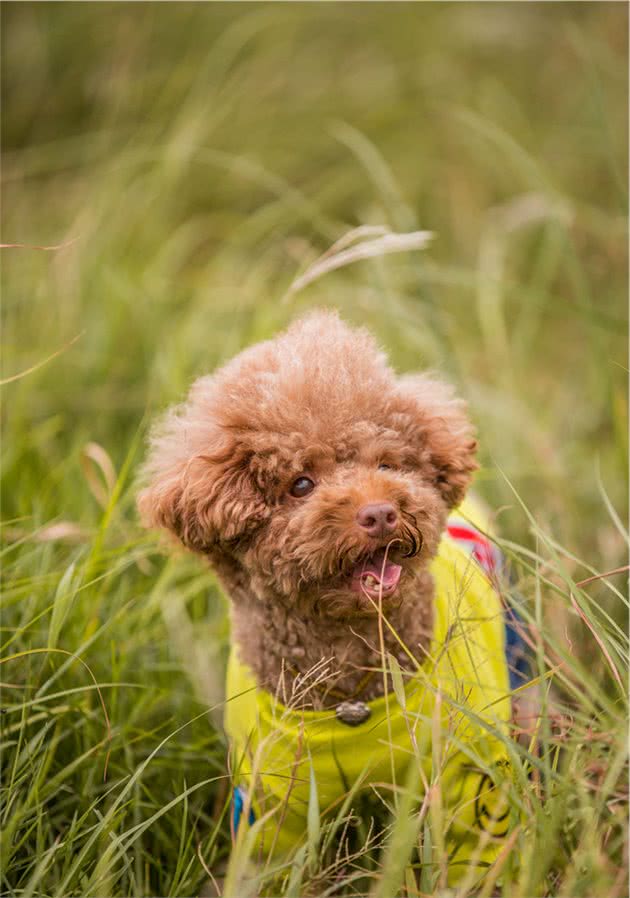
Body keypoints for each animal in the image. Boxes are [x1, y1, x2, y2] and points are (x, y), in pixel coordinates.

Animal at [141, 312, 524, 884]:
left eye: (388, 465)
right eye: (301, 484)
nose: (381, 513)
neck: (352, 696)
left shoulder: (467, 777)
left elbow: (473, 858)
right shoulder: (271, 804)